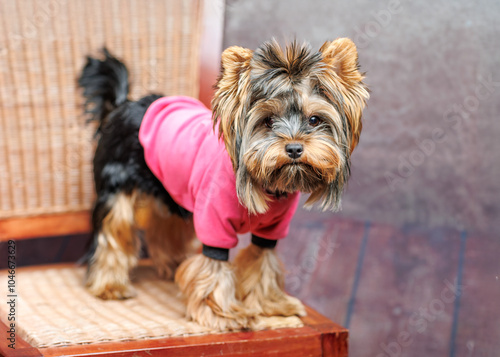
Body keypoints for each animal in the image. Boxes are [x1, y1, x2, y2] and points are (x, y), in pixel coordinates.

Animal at [77, 37, 368, 330]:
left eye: (314, 120)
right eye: (268, 121)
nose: (294, 148)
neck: (265, 184)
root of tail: (122, 106)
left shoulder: (272, 230)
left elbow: (262, 262)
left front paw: (270, 306)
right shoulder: (213, 220)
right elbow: (214, 267)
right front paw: (221, 312)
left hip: (171, 189)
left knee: (167, 222)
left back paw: (174, 265)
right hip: (116, 186)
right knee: (112, 230)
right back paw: (110, 286)